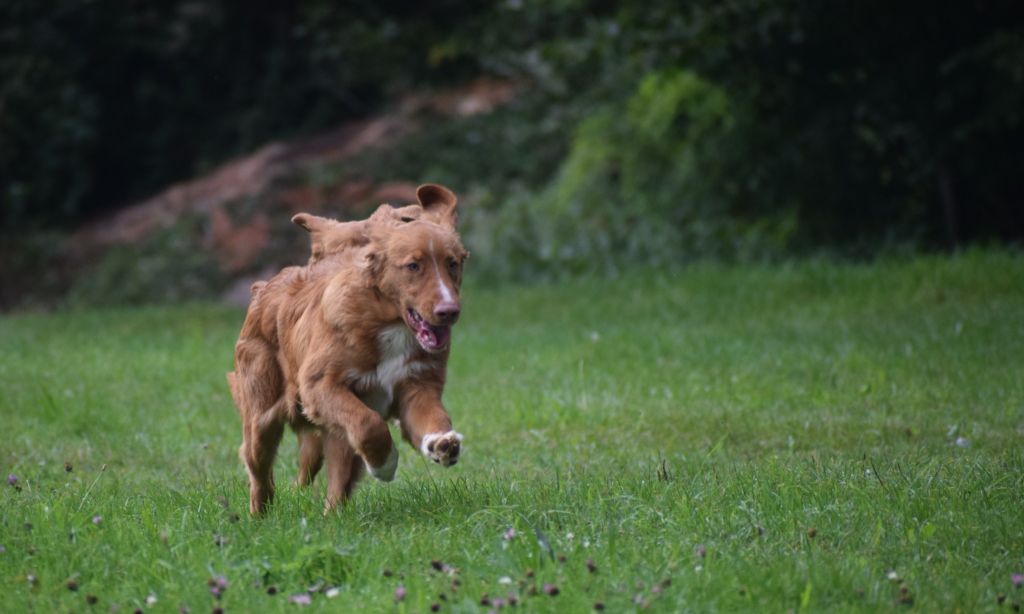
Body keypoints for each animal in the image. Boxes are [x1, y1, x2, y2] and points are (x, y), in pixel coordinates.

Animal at [228, 182, 468, 513]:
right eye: (413, 266)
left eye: (453, 263)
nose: (449, 311)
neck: (389, 324)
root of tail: (263, 289)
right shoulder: (319, 386)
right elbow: (369, 424)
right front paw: (385, 463)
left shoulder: (418, 386)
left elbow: (432, 418)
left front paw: (441, 444)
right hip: (261, 414)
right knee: (259, 469)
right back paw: (260, 516)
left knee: (334, 484)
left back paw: (332, 518)